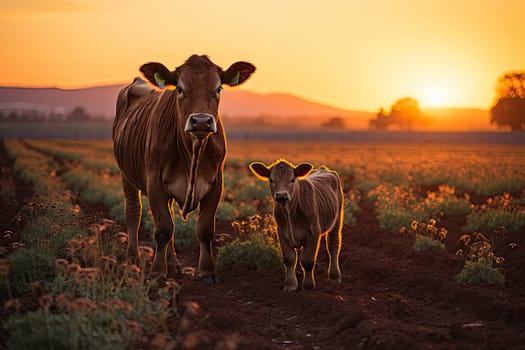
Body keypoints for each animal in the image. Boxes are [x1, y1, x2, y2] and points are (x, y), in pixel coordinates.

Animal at [113, 55, 255, 282]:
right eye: (179, 89)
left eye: (218, 88)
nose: (202, 121)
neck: (193, 152)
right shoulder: (154, 181)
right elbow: (163, 229)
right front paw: (157, 273)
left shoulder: (216, 183)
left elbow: (205, 229)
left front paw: (207, 272)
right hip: (126, 175)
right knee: (133, 213)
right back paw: (132, 261)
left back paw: (173, 265)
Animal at [250, 160, 344, 292]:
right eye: (271, 180)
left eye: (292, 179)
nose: (281, 195)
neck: (290, 213)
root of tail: (323, 169)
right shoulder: (281, 232)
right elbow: (289, 259)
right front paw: (290, 285)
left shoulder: (313, 232)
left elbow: (307, 260)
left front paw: (308, 286)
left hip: (337, 220)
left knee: (333, 246)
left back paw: (335, 276)